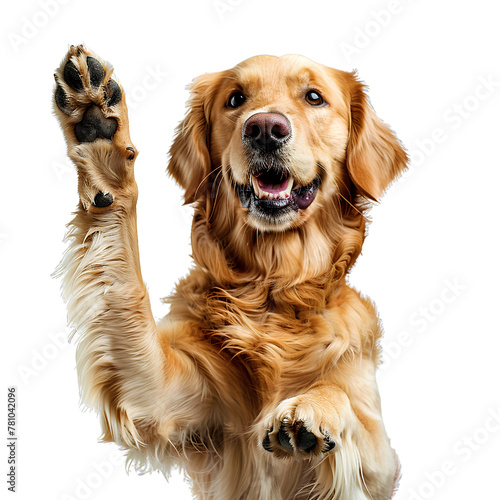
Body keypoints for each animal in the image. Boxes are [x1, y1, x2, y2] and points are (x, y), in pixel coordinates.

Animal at [53, 45, 406, 498]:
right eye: (236, 99)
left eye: (314, 97)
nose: (265, 129)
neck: (273, 293)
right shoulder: (160, 395)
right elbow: (127, 290)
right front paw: (98, 133)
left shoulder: (382, 462)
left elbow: (341, 398)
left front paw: (310, 408)